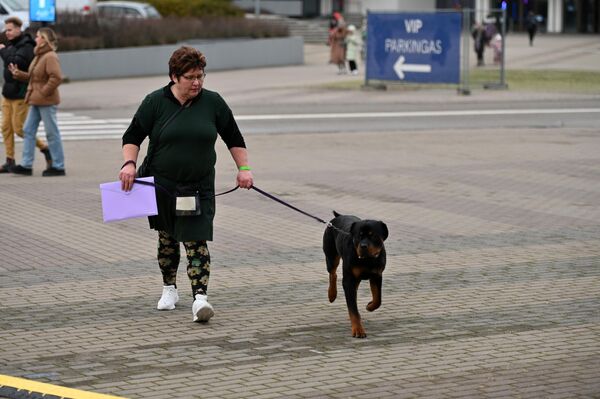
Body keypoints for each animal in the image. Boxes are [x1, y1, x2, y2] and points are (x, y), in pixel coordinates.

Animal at [324, 211, 390, 340]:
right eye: (359, 236)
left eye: (373, 235)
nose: (363, 246)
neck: (367, 260)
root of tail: (338, 216)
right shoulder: (348, 280)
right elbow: (353, 310)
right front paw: (358, 330)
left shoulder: (377, 276)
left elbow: (378, 299)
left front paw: (370, 306)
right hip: (331, 256)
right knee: (333, 273)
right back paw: (332, 294)